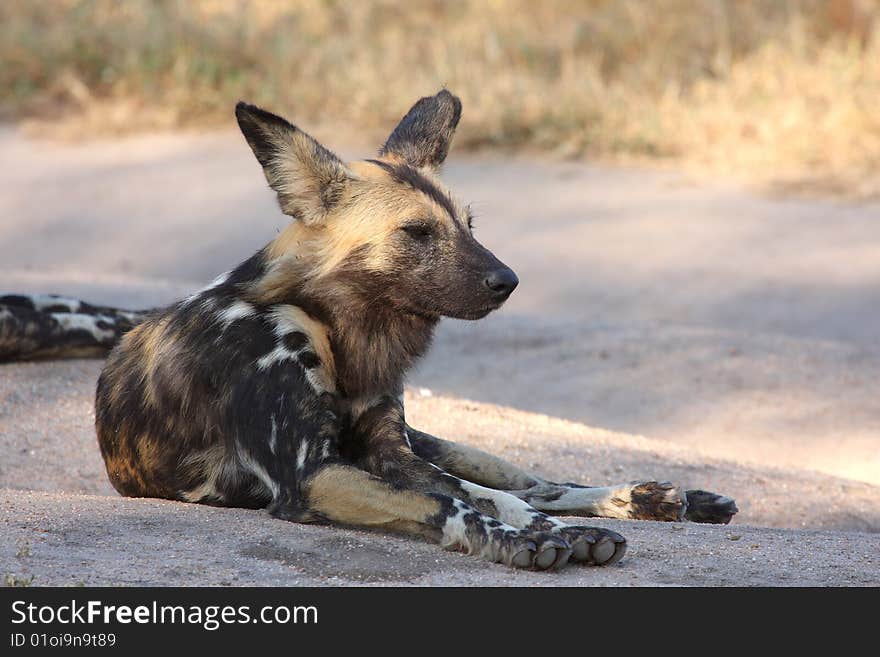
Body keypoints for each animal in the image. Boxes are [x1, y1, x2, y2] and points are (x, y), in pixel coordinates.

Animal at [0, 89, 736, 568]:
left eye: (470, 224)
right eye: (417, 233)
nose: (508, 281)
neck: (345, 331)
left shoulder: (391, 451)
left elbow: (487, 492)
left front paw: (541, 527)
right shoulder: (314, 475)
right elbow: (458, 504)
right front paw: (517, 539)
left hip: (437, 440)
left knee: (530, 480)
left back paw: (661, 497)